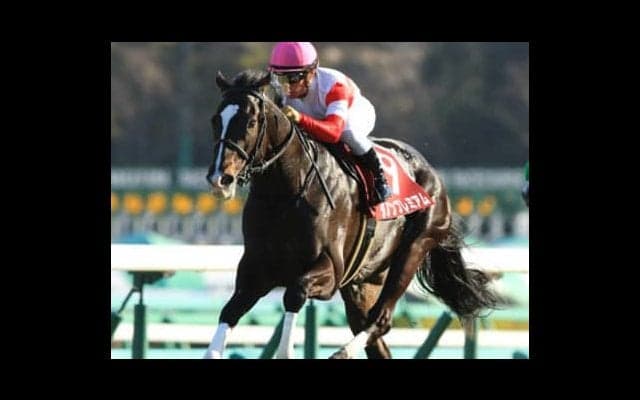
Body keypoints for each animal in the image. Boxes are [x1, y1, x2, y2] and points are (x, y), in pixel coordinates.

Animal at [203, 69, 499, 359]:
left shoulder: (331, 269)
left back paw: (342, 352)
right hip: (364, 282)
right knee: (374, 336)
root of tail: (432, 173)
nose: (220, 178)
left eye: (251, 121)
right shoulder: (255, 271)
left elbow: (294, 293)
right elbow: (229, 312)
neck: (286, 194)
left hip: (415, 247)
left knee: (380, 320)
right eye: (216, 119)